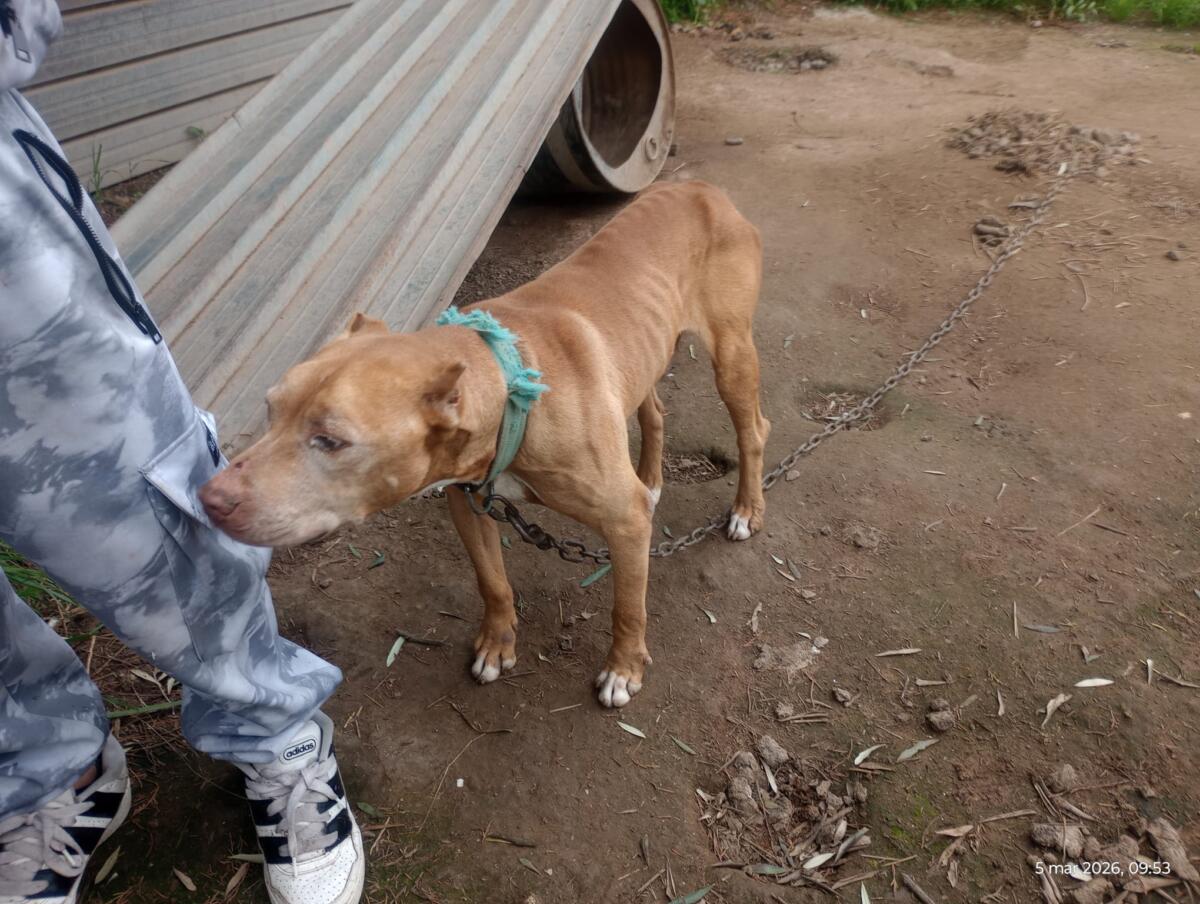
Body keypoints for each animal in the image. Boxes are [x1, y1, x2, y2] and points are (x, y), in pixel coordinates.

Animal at [199, 180, 769, 708]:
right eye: (270, 409)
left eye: (331, 441)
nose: (210, 498)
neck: (514, 388)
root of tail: (699, 187)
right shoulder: (467, 500)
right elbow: (492, 581)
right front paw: (498, 645)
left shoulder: (624, 521)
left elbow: (627, 606)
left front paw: (623, 669)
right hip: (643, 353)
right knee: (653, 410)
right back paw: (651, 479)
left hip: (732, 357)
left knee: (754, 431)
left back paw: (746, 510)